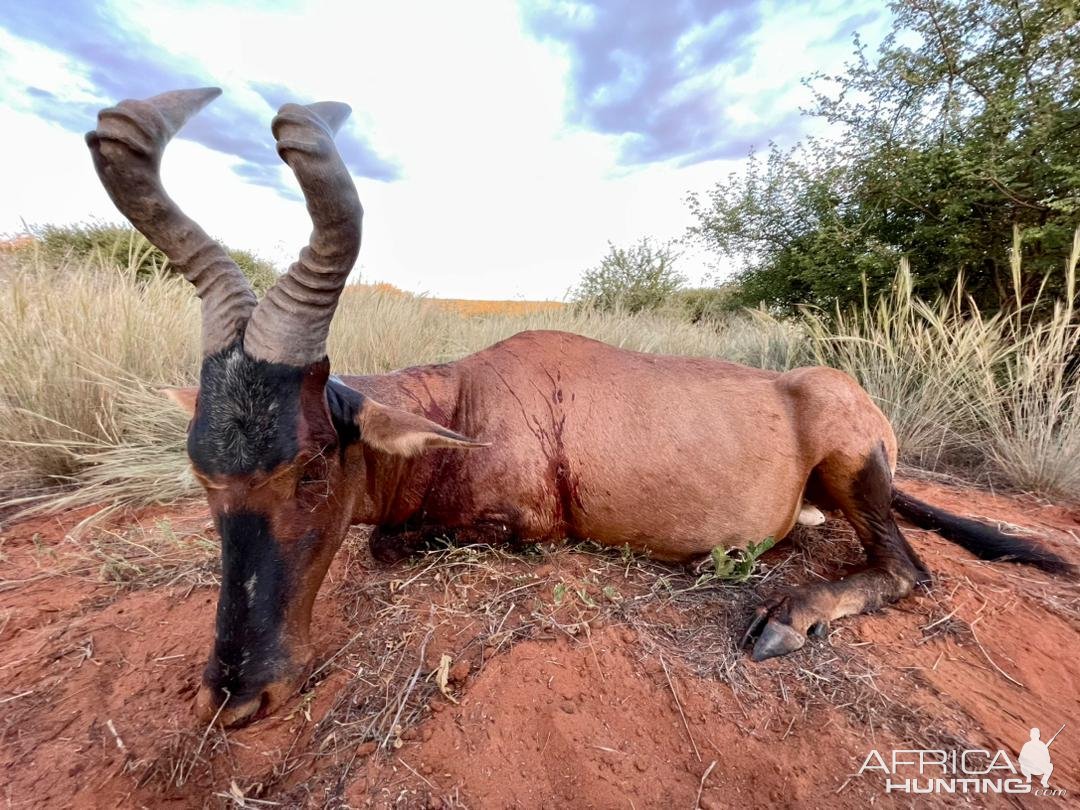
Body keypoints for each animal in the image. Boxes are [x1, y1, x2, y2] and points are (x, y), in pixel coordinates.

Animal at [88, 85, 1075, 725]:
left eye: (313, 465)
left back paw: (784, 620)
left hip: (852, 465)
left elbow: (391, 542)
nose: (237, 696)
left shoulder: (526, 525)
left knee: (911, 570)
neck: (469, 399)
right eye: (202, 470)